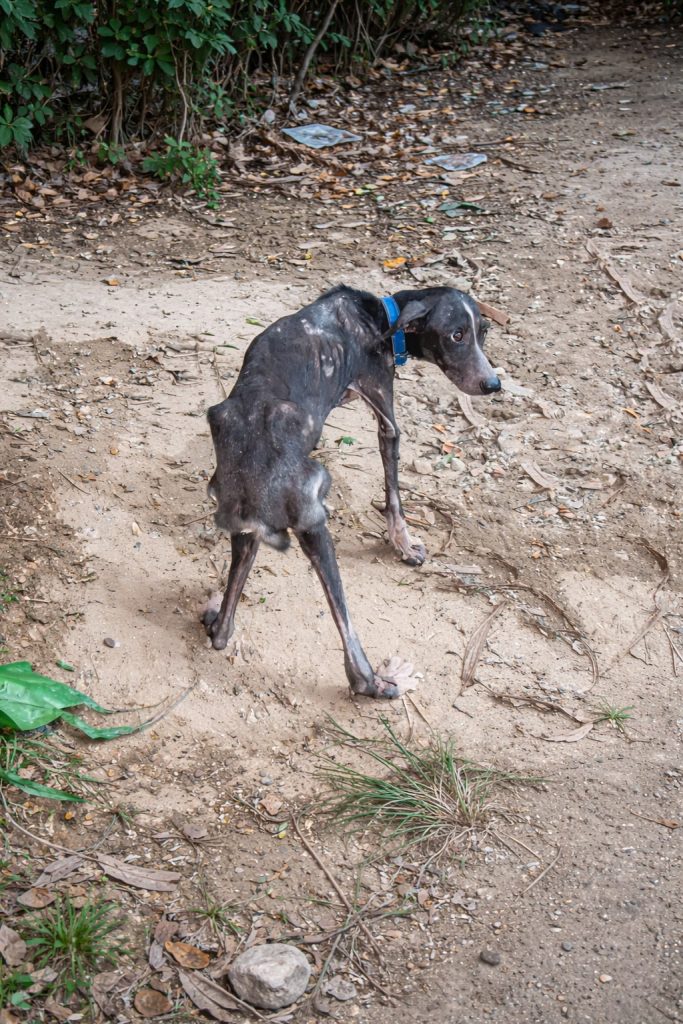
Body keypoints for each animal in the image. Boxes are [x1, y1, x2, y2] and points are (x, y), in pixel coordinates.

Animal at [202, 285, 501, 698]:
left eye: (483, 332)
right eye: (457, 335)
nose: (493, 384)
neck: (379, 314)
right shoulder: (384, 410)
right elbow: (394, 495)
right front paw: (403, 544)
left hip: (245, 534)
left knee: (225, 625)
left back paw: (216, 620)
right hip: (316, 533)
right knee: (346, 630)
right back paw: (374, 681)